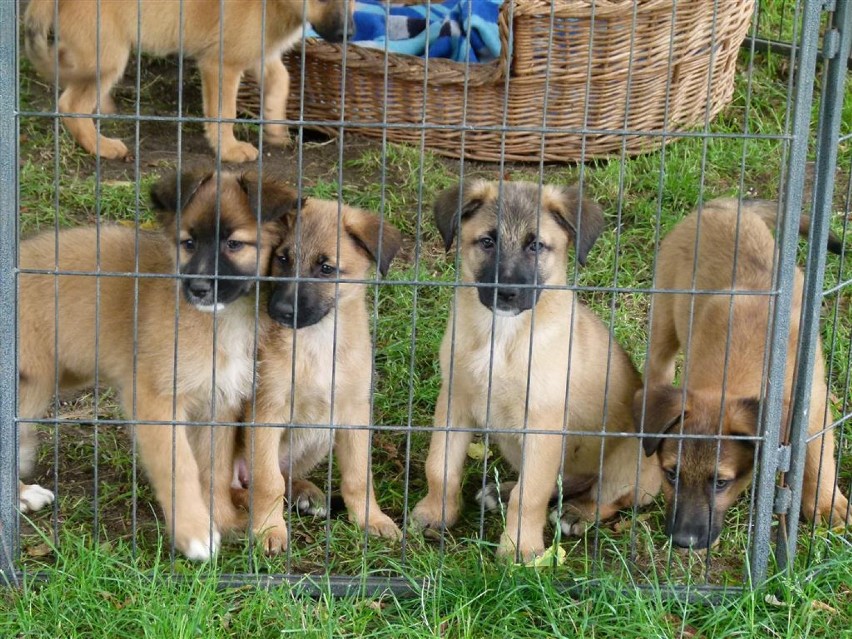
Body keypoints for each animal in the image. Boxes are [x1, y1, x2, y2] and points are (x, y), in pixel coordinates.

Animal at [22, 0, 352, 164]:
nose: (348, 34)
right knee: (70, 103)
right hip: (108, 56)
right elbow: (224, 113)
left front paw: (275, 129)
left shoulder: (260, 54)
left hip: (89, 52)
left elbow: (281, 82)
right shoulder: (222, 64)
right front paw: (229, 150)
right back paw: (101, 146)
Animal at [228, 196, 404, 556]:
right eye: (283, 258)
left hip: (320, 432)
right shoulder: (264, 412)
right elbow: (267, 482)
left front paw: (372, 520)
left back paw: (304, 492)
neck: (317, 341)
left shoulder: (354, 414)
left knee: (284, 474)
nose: (280, 311)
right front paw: (270, 529)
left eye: (326, 268)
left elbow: (359, 477)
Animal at [410, 180, 664, 560]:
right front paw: (435, 513)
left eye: (536, 246)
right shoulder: (454, 401)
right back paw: (501, 491)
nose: (507, 292)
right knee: (561, 481)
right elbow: (440, 466)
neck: (501, 336)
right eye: (487, 241)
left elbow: (530, 496)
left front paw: (519, 548)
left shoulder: (542, 423)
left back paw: (577, 513)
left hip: (631, 457)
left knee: (609, 497)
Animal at [640, 199, 852, 552]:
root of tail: (726, 204)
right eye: (671, 475)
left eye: (721, 482)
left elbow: (818, 458)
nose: (685, 541)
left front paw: (825, 504)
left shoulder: (814, 408)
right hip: (663, 326)